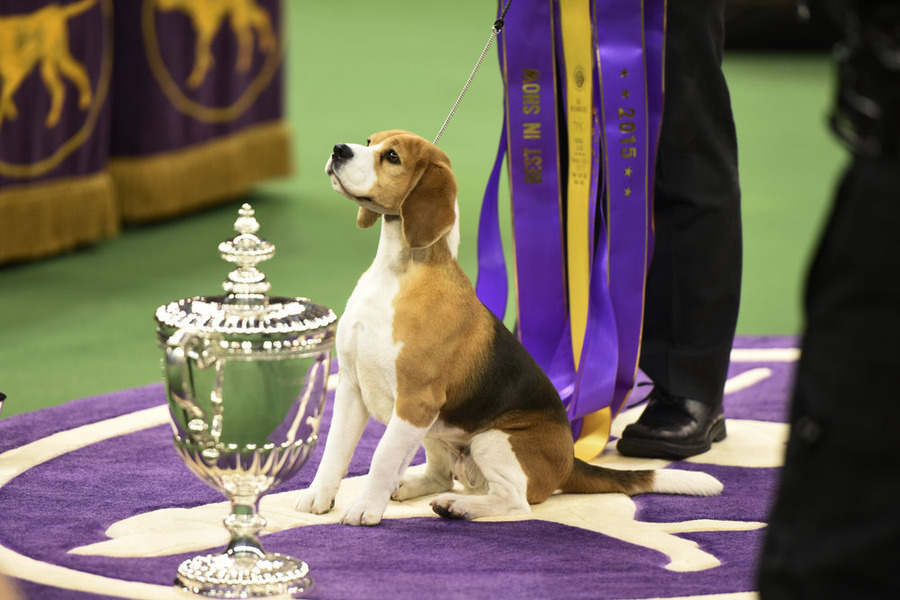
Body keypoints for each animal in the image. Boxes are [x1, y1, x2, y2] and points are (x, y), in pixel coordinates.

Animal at [298, 130, 724, 524]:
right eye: (370, 141)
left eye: (392, 157)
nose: (339, 149)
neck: (397, 271)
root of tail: (569, 460)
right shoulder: (352, 386)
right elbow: (335, 451)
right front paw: (319, 497)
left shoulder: (416, 402)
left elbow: (383, 457)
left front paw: (365, 508)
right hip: (436, 431)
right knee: (441, 476)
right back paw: (409, 488)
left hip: (491, 440)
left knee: (515, 501)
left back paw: (458, 506)